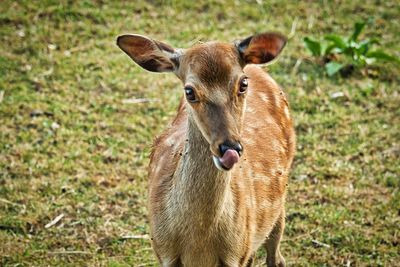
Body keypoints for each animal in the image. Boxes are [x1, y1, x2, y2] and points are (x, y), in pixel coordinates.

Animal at [117, 31, 296, 267]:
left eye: (243, 84)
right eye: (189, 91)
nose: (229, 147)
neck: (198, 244)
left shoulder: (237, 253)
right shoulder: (163, 250)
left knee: (276, 255)